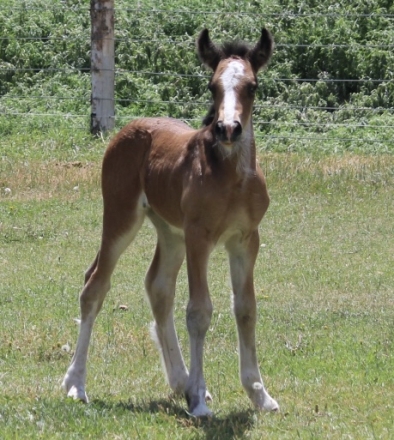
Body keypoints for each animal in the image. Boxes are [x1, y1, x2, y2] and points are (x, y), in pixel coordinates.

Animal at [62, 26, 278, 416]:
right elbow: (199, 311)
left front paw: (259, 394)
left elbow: (246, 309)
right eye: (212, 85)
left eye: (252, 86)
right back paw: (76, 384)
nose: (228, 128)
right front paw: (200, 402)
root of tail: (128, 128)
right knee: (95, 286)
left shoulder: (245, 239)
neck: (232, 178)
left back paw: (180, 382)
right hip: (121, 217)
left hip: (170, 232)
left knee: (158, 286)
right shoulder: (199, 236)